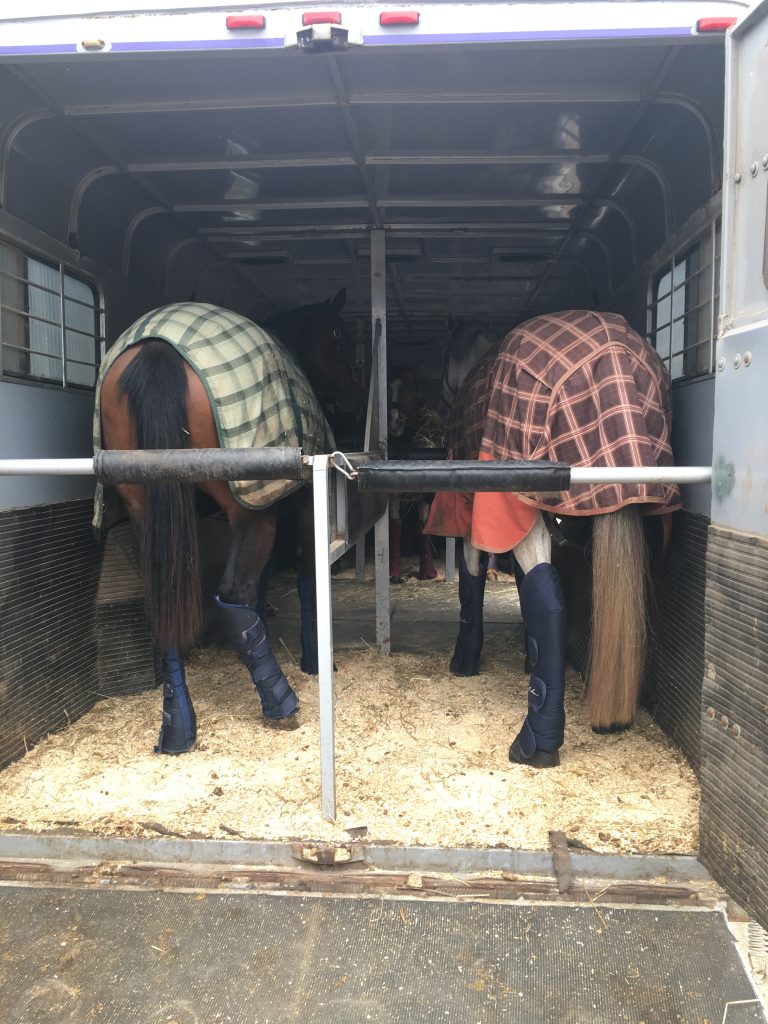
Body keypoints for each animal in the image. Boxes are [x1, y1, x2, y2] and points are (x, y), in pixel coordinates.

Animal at [96, 296, 360, 753]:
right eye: (340, 335)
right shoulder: (293, 505)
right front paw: (313, 661)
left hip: (144, 506)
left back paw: (178, 728)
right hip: (247, 510)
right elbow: (303, 576)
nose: (351, 395)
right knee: (235, 591)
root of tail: (157, 349)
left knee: (165, 598)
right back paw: (280, 704)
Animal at [423, 309, 684, 770]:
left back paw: (536, 743)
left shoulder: (480, 514)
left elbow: (472, 584)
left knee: (548, 599)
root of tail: (613, 356)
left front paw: (465, 660)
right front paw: (528, 660)